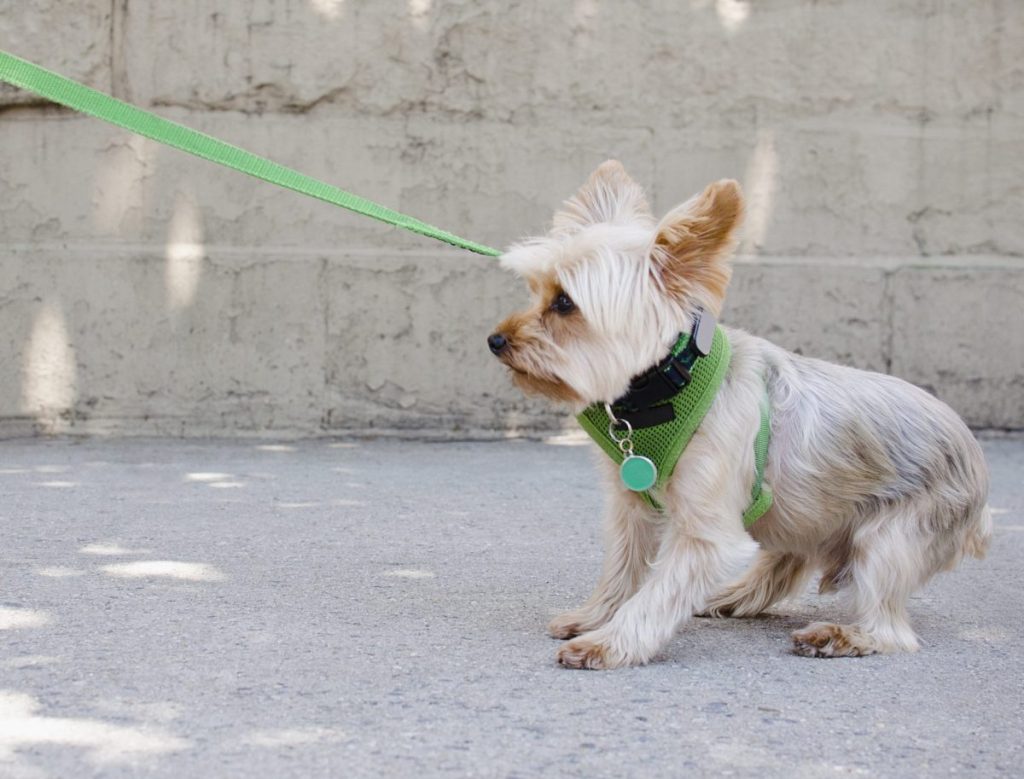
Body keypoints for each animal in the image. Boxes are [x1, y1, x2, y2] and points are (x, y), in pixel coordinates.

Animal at [487, 159, 991, 667]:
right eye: (536, 291)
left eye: (565, 303)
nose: (495, 339)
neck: (666, 386)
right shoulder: (631, 507)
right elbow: (623, 567)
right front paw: (595, 616)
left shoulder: (705, 532)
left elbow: (659, 592)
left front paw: (610, 642)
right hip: (805, 511)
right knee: (788, 560)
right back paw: (732, 598)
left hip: (893, 535)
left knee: (891, 627)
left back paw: (841, 636)